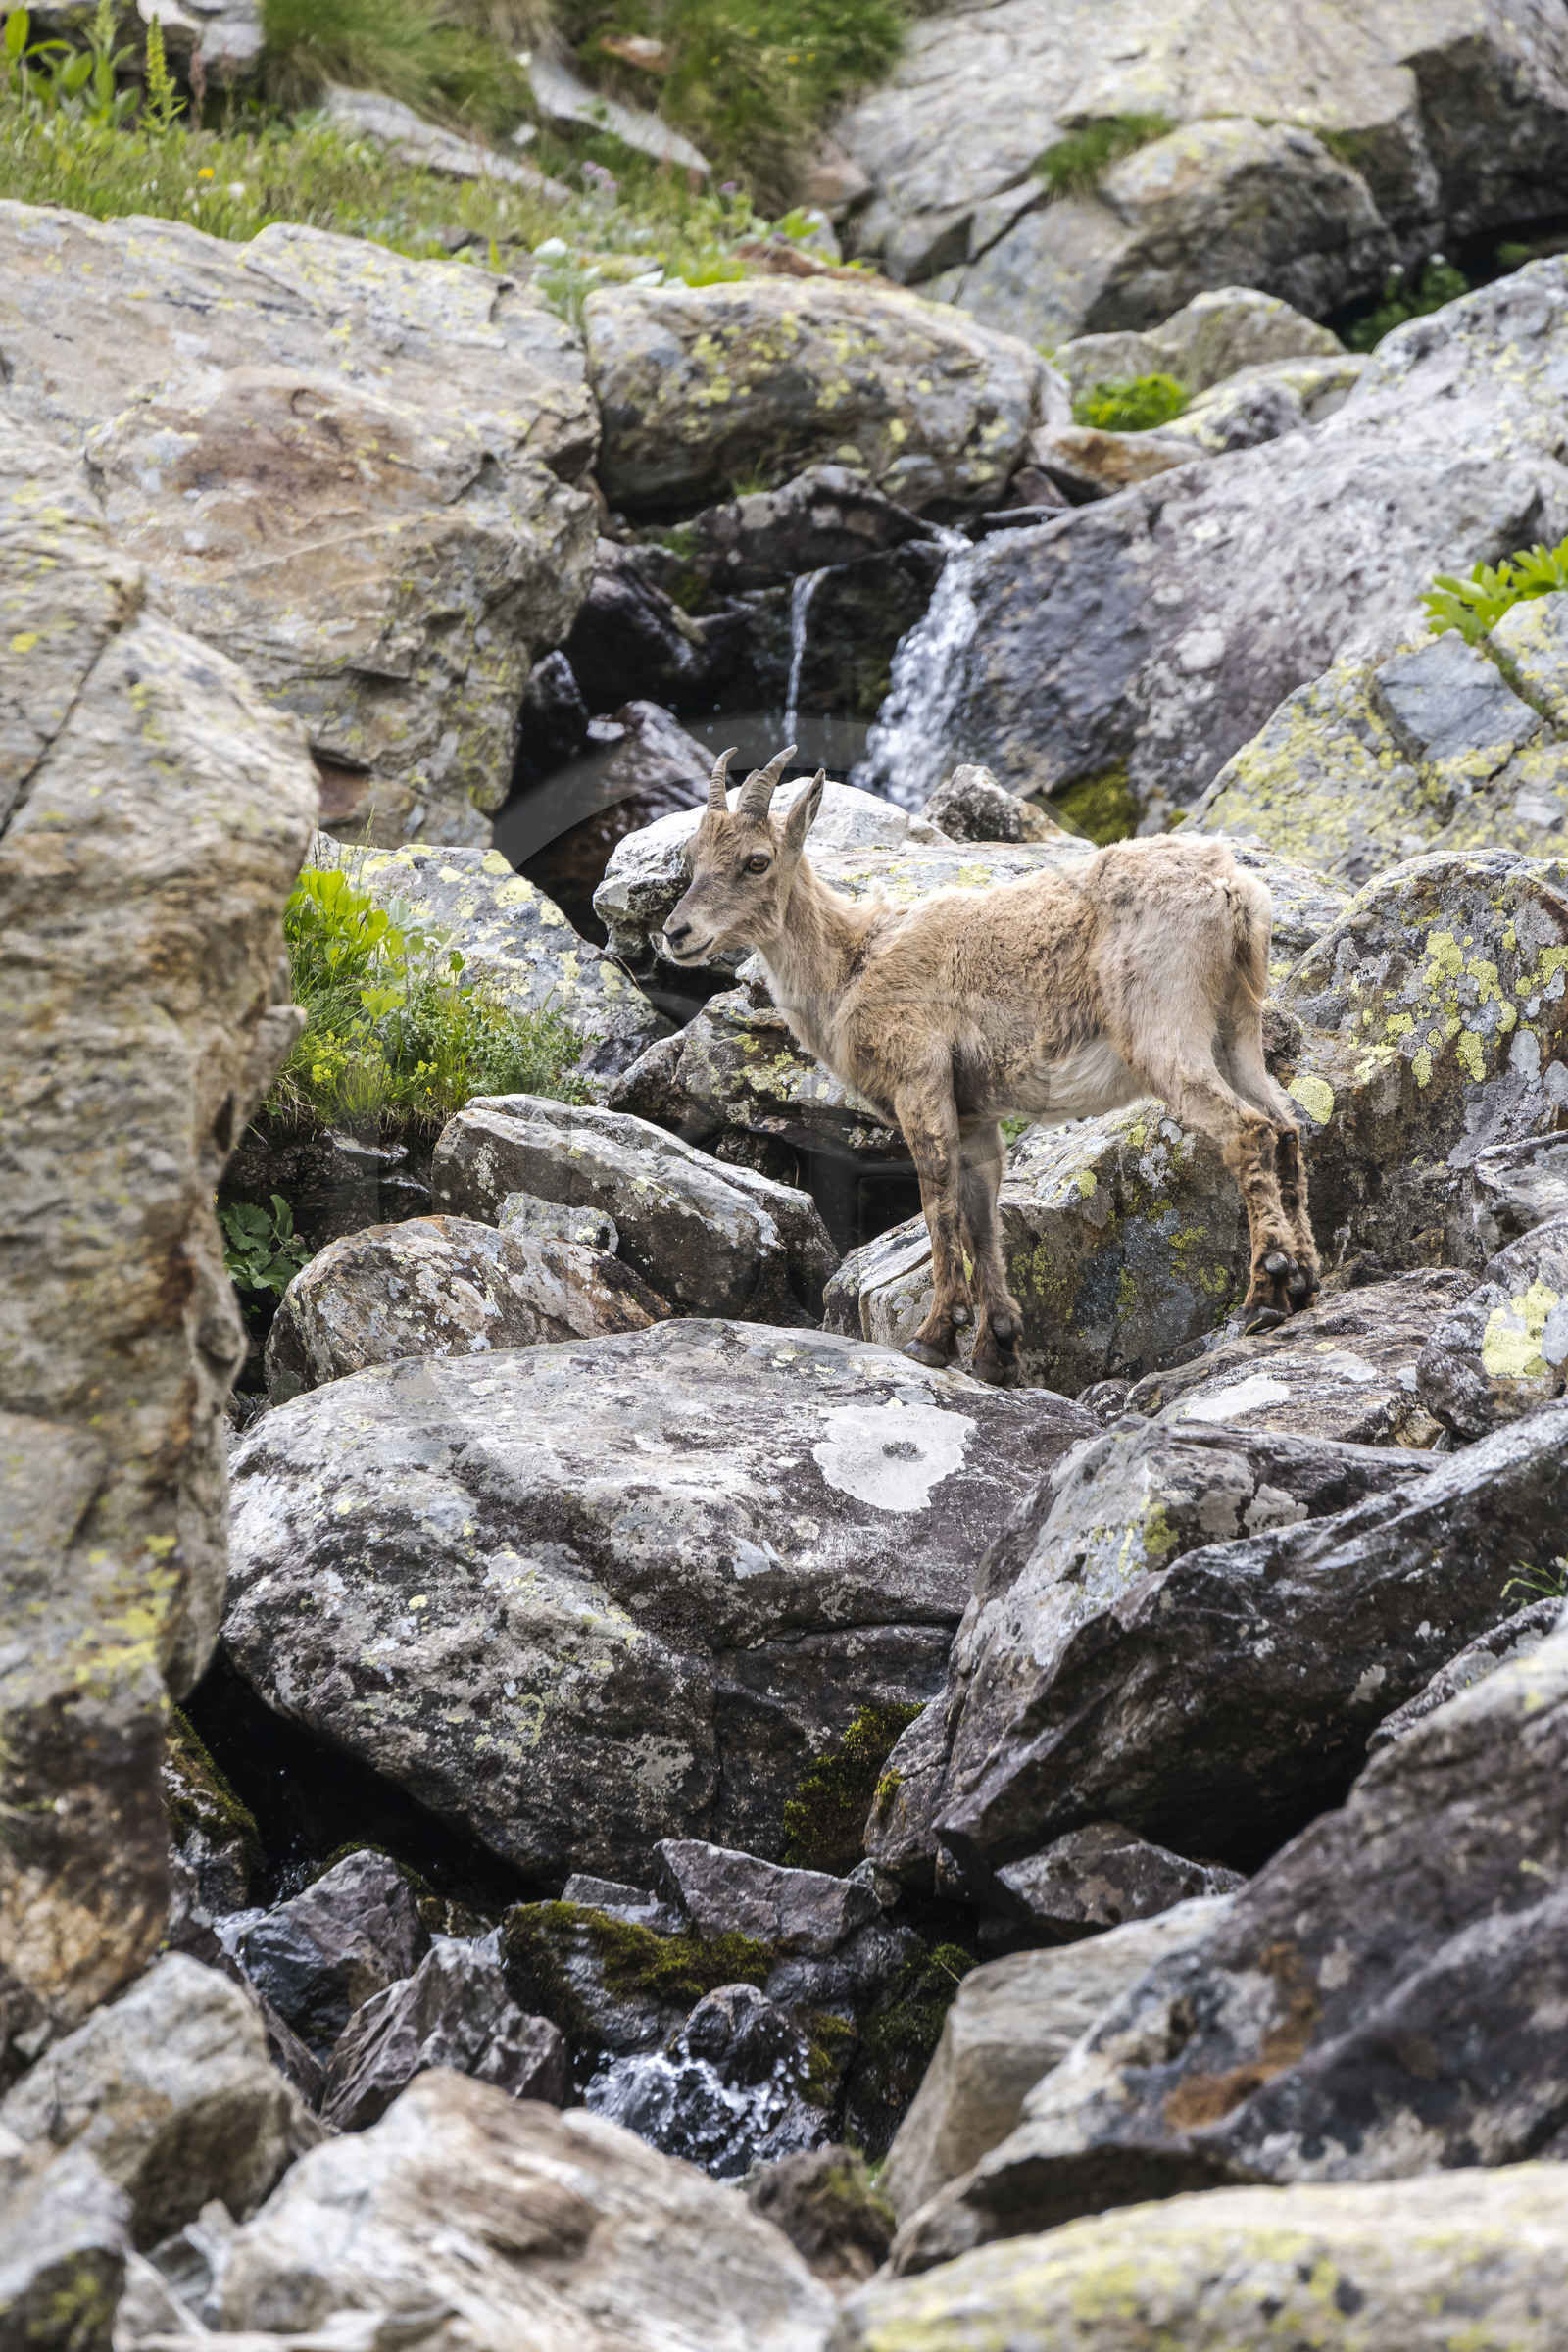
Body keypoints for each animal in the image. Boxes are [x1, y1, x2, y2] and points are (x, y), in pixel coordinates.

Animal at [663, 747, 1319, 1387]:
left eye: (757, 861)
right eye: (690, 857)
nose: (675, 932)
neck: (852, 965)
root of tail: (1232, 892)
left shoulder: (919, 1079)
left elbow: (938, 1201)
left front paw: (932, 1336)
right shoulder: (976, 1113)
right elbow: (982, 1217)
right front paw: (995, 1350)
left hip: (1163, 1027)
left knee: (1249, 1130)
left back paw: (1264, 1292)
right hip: (1236, 1028)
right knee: (1285, 1124)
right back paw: (1304, 1281)